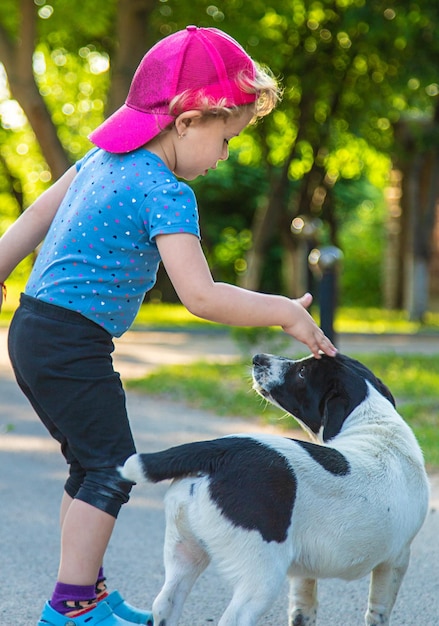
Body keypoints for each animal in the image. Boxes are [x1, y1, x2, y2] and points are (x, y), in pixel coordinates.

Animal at [121, 354, 430, 620]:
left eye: (303, 372)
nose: (258, 358)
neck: (374, 423)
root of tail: (220, 451)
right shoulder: (396, 560)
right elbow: (378, 611)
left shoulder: (306, 572)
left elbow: (303, 610)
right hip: (260, 580)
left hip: (184, 554)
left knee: (165, 604)